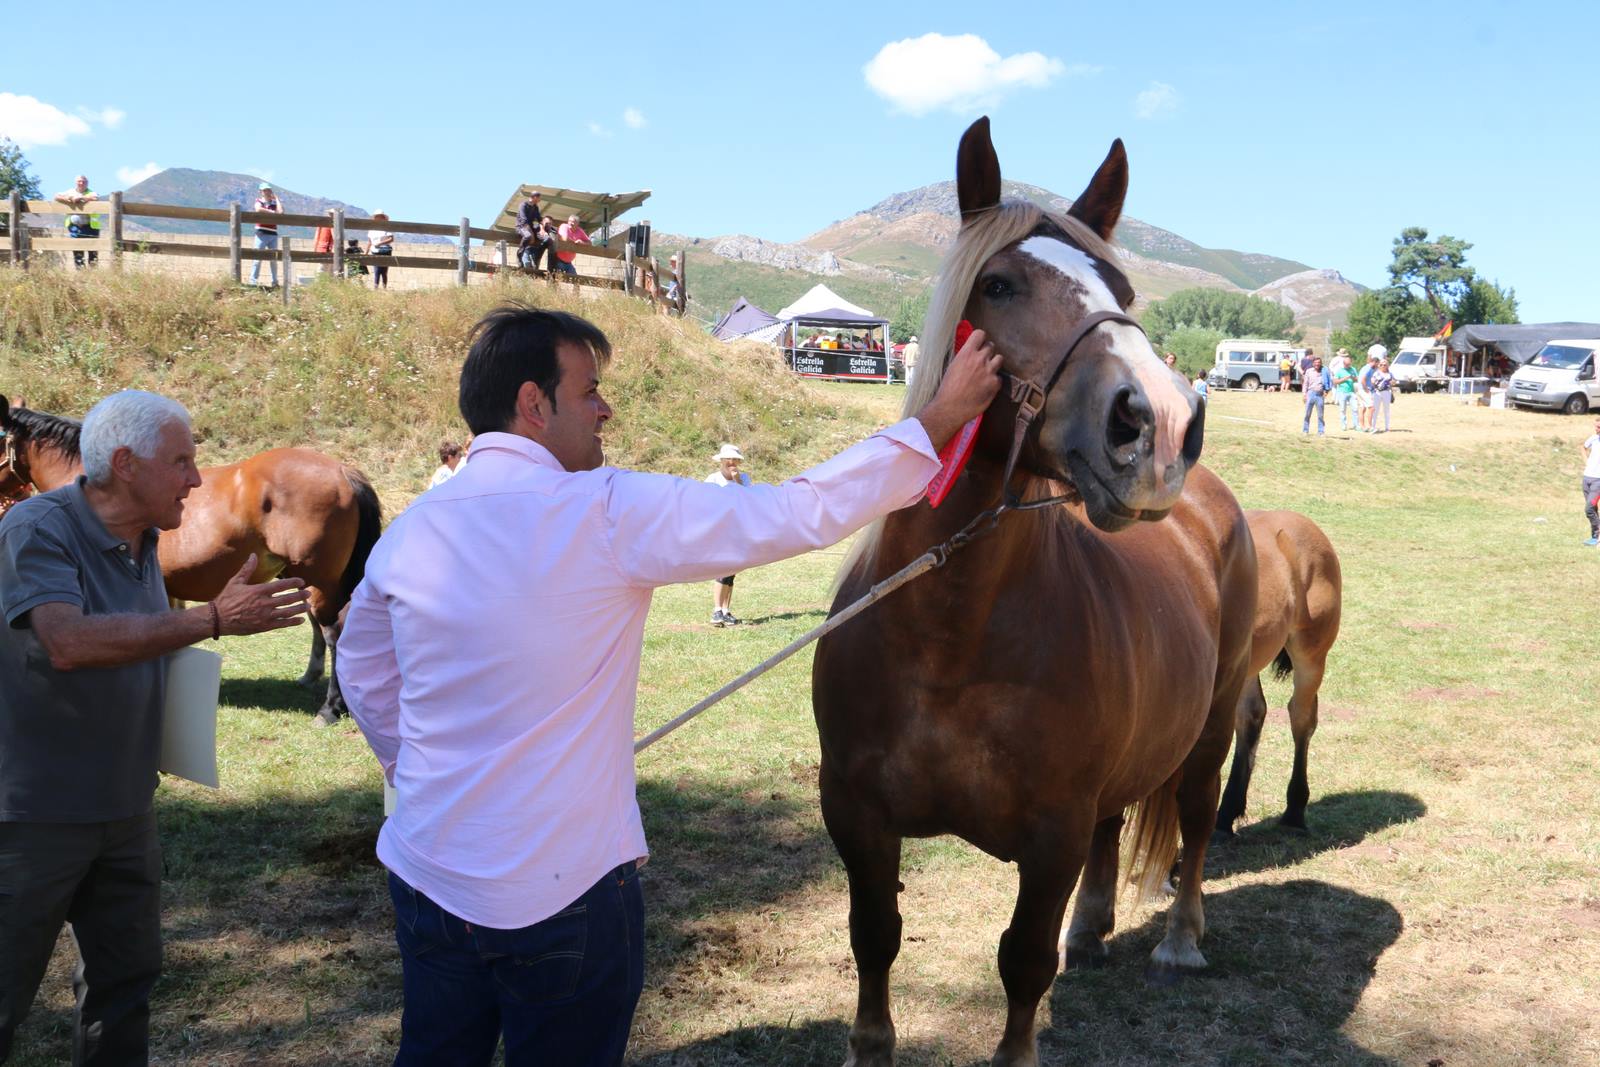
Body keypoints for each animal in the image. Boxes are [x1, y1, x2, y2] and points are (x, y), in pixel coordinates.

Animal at [812, 119, 1260, 1067]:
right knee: (1115, 828)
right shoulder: (857, 817)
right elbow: (874, 938)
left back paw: (1179, 940)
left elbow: (1022, 963)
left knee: (1197, 821)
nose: (1161, 424)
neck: (949, 636)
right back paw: (1090, 930)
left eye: (1123, 289)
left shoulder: (1049, 837)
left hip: (1210, 728)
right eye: (999, 284)